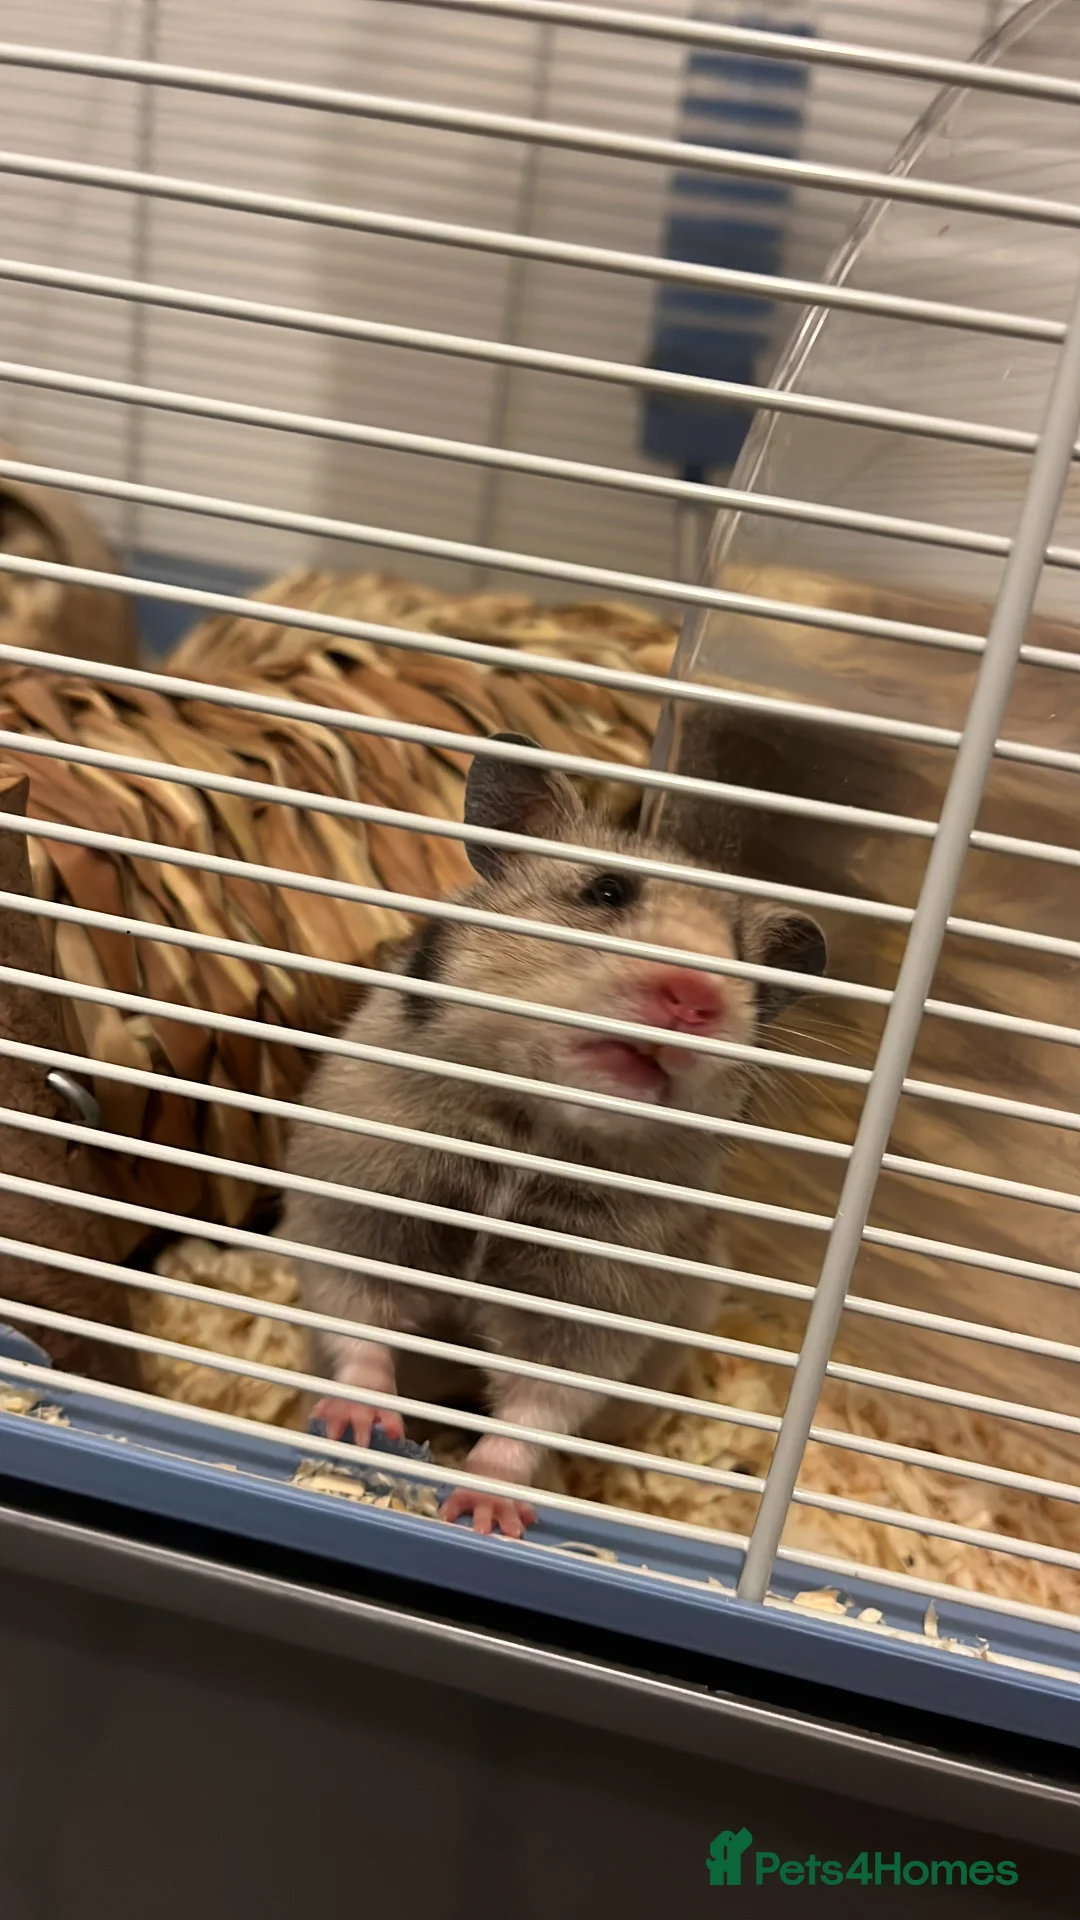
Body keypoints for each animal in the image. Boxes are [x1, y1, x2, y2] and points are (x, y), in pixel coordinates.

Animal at [282, 733, 826, 1536]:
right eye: (607, 893)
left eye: (741, 962)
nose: (694, 1000)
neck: (534, 1130)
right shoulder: (356, 1204)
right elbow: (361, 1321)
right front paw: (358, 1430)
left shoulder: (596, 1305)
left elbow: (537, 1405)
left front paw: (482, 1512)